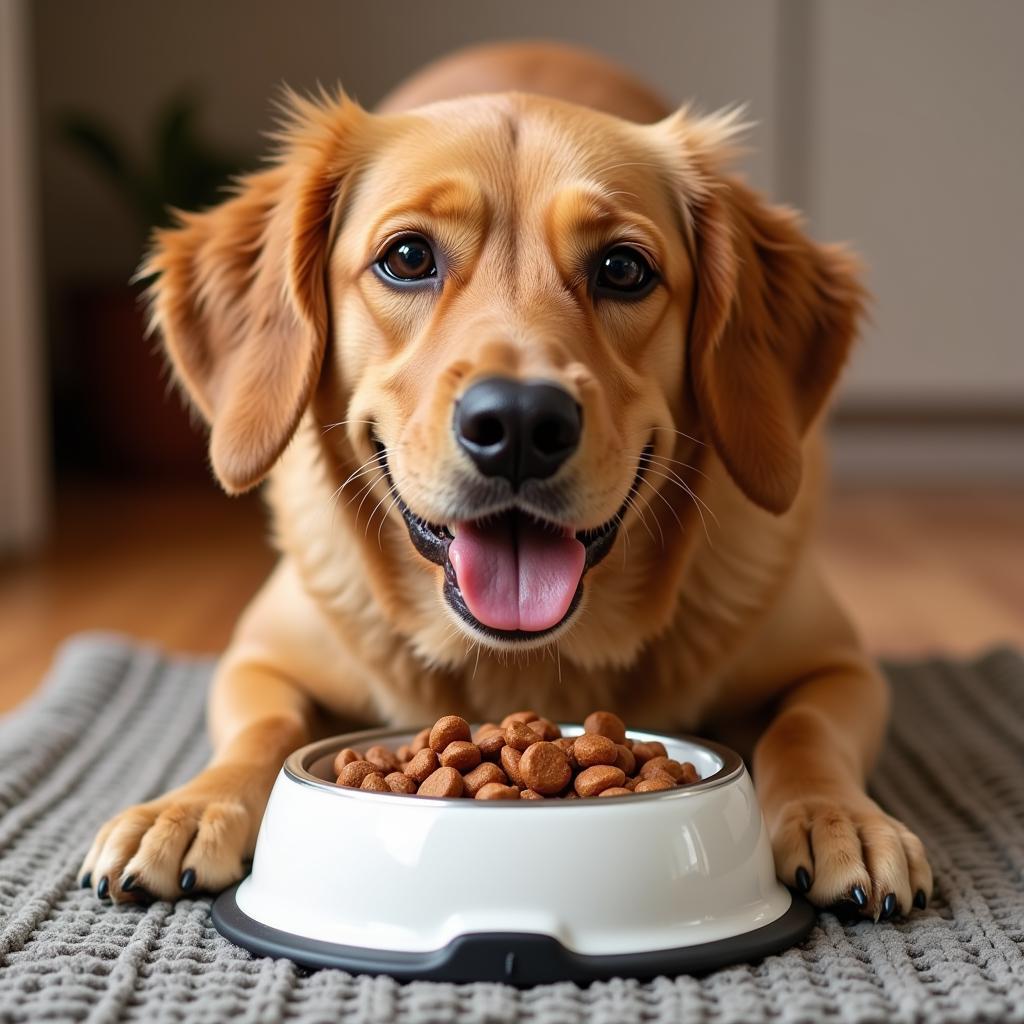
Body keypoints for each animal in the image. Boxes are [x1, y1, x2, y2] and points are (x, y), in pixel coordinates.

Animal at [79, 41, 929, 921]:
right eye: (407, 257)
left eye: (624, 268)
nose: (520, 424)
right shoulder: (258, 660)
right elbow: (262, 731)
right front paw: (190, 805)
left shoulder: (840, 668)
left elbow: (806, 732)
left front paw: (839, 815)